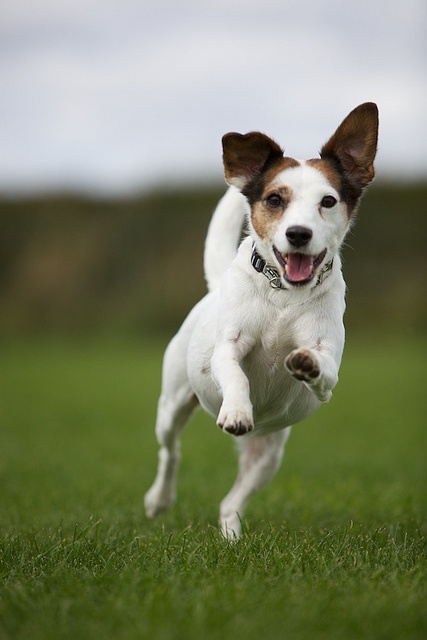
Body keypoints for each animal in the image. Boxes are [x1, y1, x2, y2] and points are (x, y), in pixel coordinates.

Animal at [145, 101, 380, 540]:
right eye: (274, 199)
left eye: (328, 201)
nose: (299, 233)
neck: (284, 294)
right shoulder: (228, 350)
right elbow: (235, 373)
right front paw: (237, 410)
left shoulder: (330, 368)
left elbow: (322, 368)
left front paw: (304, 363)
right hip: (172, 404)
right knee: (171, 451)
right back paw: (159, 499)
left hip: (268, 456)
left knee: (230, 502)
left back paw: (232, 538)